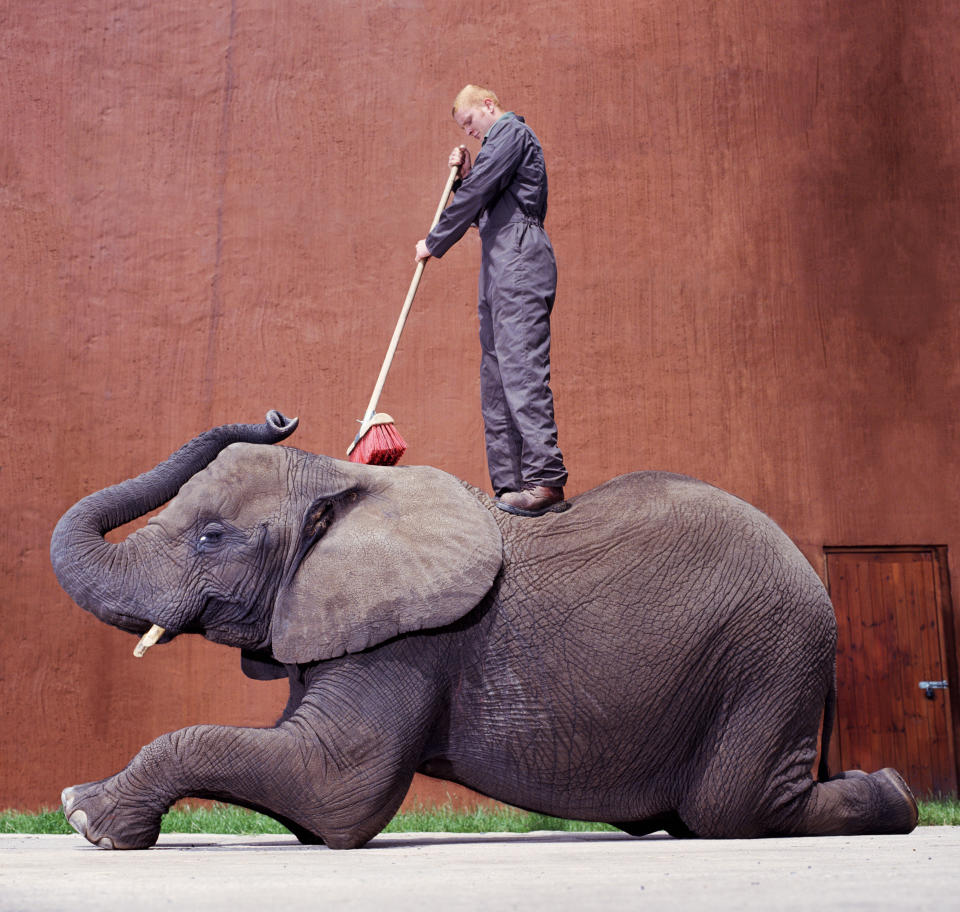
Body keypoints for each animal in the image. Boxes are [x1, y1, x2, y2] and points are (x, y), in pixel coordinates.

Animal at [48, 414, 920, 848]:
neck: (345, 479)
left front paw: (85, 816)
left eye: (211, 538)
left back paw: (897, 796)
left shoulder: (410, 644)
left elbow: (336, 795)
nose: (277, 414)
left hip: (769, 656)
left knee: (730, 810)